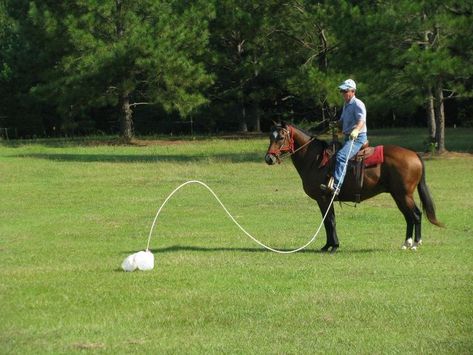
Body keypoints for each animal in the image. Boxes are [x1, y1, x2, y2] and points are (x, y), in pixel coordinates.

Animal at [264, 122, 440, 253]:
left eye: (281, 137)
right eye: (270, 136)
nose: (269, 158)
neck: (315, 160)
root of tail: (414, 154)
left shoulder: (324, 198)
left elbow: (330, 221)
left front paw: (333, 246)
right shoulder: (326, 200)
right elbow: (328, 221)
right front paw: (328, 245)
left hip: (404, 194)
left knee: (416, 215)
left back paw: (416, 244)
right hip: (398, 195)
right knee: (408, 216)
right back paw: (406, 243)